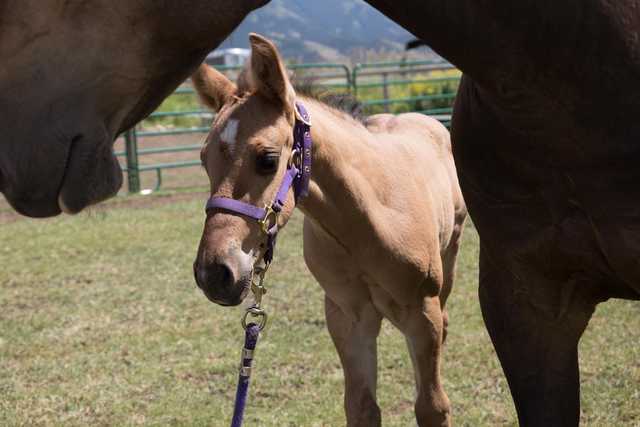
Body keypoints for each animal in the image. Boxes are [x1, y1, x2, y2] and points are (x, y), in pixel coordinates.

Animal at [192, 33, 467, 427]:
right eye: (203, 159)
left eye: (268, 159)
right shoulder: (347, 318)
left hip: (450, 258)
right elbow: (362, 407)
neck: (364, 221)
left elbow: (432, 406)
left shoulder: (421, 313)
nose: (214, 273)